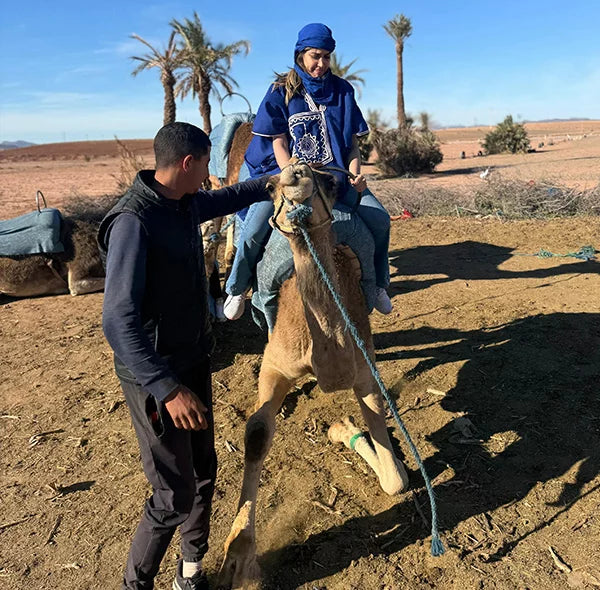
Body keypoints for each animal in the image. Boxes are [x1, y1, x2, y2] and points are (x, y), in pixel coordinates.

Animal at [216, 162, 408, 590]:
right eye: (270, 186)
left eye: (330, 181)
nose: (295, 175)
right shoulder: (276, 364)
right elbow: (256, 433)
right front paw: (239, 558)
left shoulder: (364, 370)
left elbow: (395, 479)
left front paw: (347, 430)